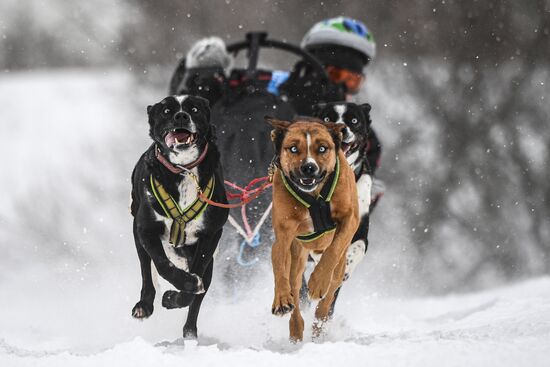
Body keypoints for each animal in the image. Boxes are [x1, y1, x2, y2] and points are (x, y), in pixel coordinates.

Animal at [131, 94, 229, 340]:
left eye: (194, 109)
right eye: (166, 111)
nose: (181, 116)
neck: (184, 171)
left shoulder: (210, 235)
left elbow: (196, 281)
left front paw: (176, 297)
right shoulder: (146, 230)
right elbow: (162, 265)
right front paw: (182, 284)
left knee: (199, 294)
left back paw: (190, 331)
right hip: (138, 236)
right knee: (146, 271)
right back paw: (144, 305)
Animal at [268, 117, 362, 342]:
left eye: (322, 148)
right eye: (293, 148)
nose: (309, 168)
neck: (314, 195)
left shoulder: (349, 220)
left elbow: (332, 251)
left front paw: (318, 282)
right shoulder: (283, 236)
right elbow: (279, 266)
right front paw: (281, 300)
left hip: (340, 268)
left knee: (330, 291)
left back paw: (319, 321)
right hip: (297, 257)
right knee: (294, 285)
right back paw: (296, 328)